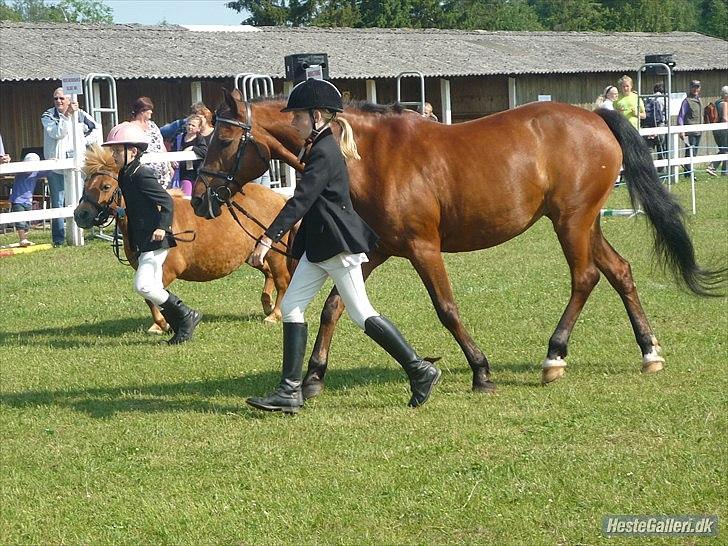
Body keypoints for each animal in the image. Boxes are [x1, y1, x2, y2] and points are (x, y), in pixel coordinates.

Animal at [77, 144, 296, 330]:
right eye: (86, 182)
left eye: (105, 186)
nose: (80, 215)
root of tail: (280, 197)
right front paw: (163, 324)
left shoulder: (168, 270)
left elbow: (152, 296)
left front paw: (162, 324)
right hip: (255, 255)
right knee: (268, 275)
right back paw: (266, 305)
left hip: (274, 254)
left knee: (282, 281)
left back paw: (274, 314)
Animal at [191, 91, 724, 394]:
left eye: (222, 141)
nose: (200, 199)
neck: (366, 155)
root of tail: (594, 117)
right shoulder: (375, 250)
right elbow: (335, 309)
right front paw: (314, 377)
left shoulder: (423, 249)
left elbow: (446, 309)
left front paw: (480, 372)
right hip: (584, 221)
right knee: (619, 271)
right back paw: (649, 352)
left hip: (571, 222)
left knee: (586, 277)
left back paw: (554, 357)